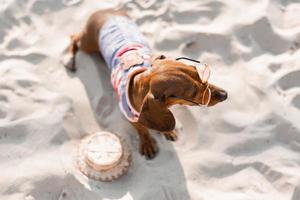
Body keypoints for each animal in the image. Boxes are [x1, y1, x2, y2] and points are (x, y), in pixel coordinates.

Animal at [63, 9, 227, 159]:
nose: (225, 95)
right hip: (87, 44)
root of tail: (104, 11)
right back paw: (70, 60)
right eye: (193, 94)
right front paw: (147, 143)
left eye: (198, 72)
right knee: (74, 37)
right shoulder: (130, 117)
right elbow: (142, 129)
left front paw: (168, 131)